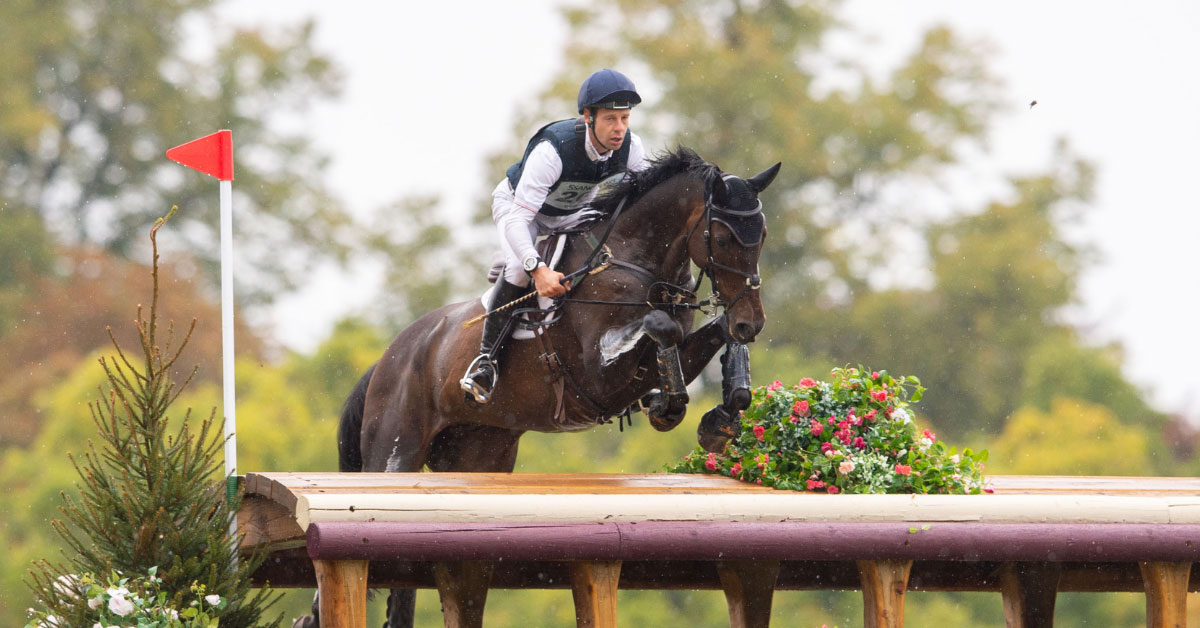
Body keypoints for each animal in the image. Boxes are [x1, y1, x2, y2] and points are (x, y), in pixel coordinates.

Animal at [300, 148, 777, 628]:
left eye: (762, 235)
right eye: (723, 237)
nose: (753, 322)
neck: (632, 261)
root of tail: (386, 359)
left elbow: (709, 336)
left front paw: (719, 413)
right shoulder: (597, 374)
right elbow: (662, 328)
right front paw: (674, 403)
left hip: (477, 457)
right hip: (394, 456)